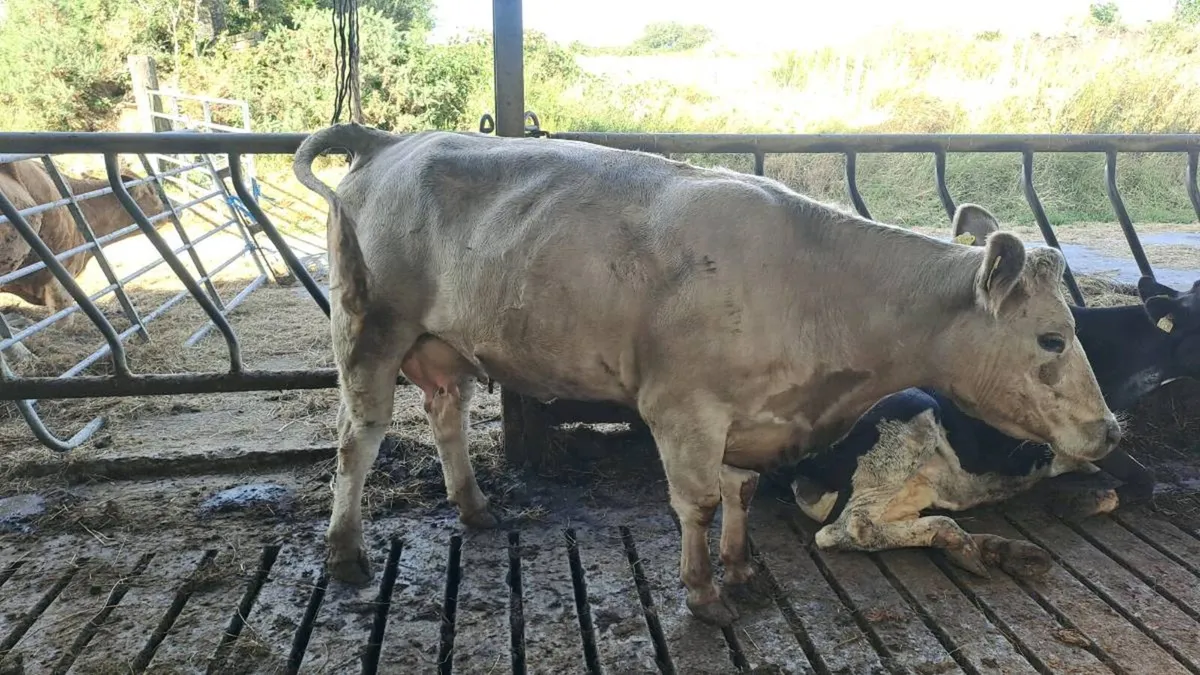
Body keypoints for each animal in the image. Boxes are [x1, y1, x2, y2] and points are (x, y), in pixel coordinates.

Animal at [292, 123, 1119, 626]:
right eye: (1053, 336)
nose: (1109, 428)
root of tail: (388, 140)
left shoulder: (752, 415)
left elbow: (741, 492)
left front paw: (741, 569)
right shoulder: (683, 407)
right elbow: (696, 501)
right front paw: (701, 592)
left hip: (444, 347)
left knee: (447, 416)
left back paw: (475, 508)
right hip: (369, 330)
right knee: (359, 438)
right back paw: (346, 551)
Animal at [769, 214, 1200, 579]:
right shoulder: (1079, 434)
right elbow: (1144, 478)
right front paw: (1084, 502)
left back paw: (998, 550)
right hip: (907, 413)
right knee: (851, 528)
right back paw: (963, 542)